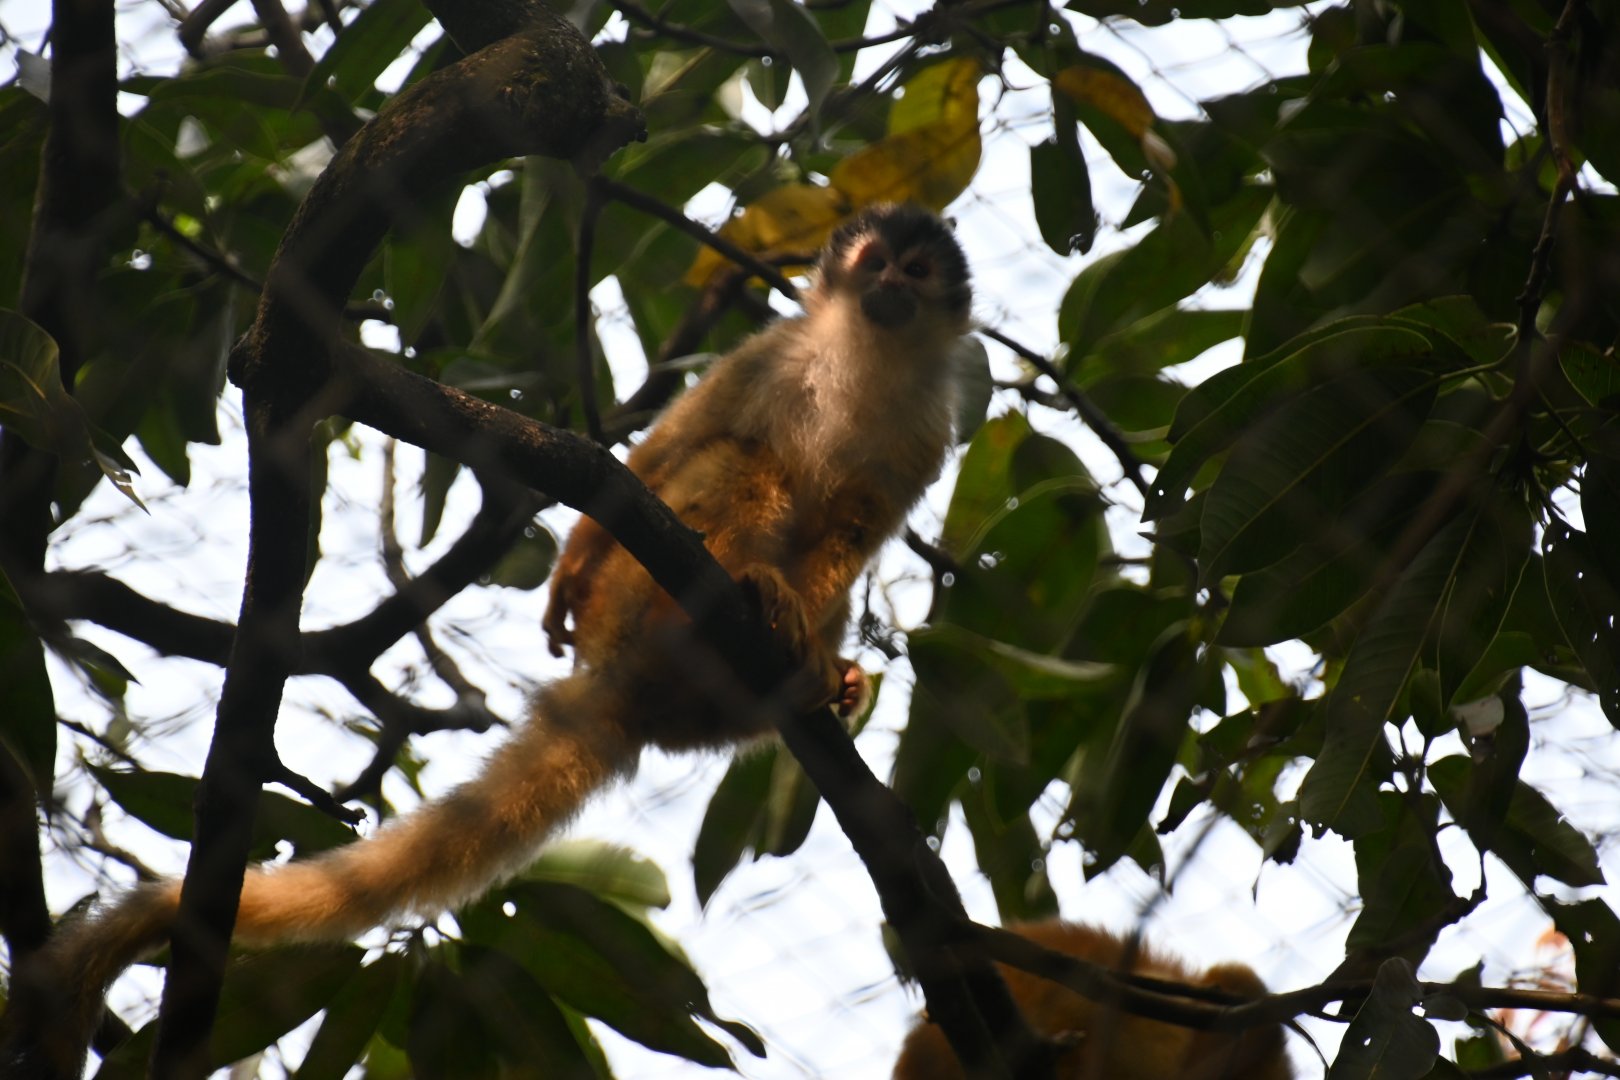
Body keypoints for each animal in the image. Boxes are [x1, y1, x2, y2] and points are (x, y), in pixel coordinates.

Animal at [1, 203, 974, 1076]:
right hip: (634, 594)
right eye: (878, 262)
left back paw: (803, 667)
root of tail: (619, 687)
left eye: (917, 272)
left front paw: (814, 639)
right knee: (736, 458)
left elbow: (856, 533)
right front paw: (571, 577)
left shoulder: (931, 429)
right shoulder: (772, 351)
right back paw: (723, 598)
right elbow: (673, 444)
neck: (864, 363)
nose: (889, 285)